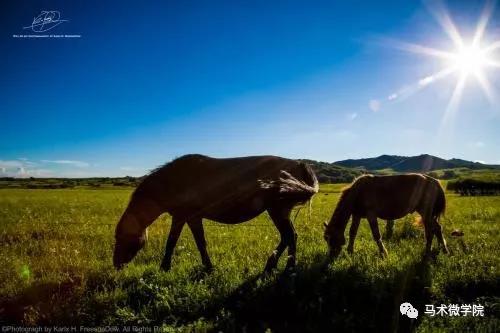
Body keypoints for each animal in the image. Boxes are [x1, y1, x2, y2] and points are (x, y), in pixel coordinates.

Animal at [113, 154, 318, 272]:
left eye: (121, 237)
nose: (116, 264)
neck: (173, 181)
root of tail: (299, 164)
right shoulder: (191, 218)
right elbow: (199, 243)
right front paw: (207, 266)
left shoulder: (182, 217)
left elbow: (173, 242)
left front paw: (165, 267)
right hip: (280, 211)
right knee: (289, 237)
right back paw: (275, 265)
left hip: (277, 210)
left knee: (289, 236)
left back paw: (286, 267)